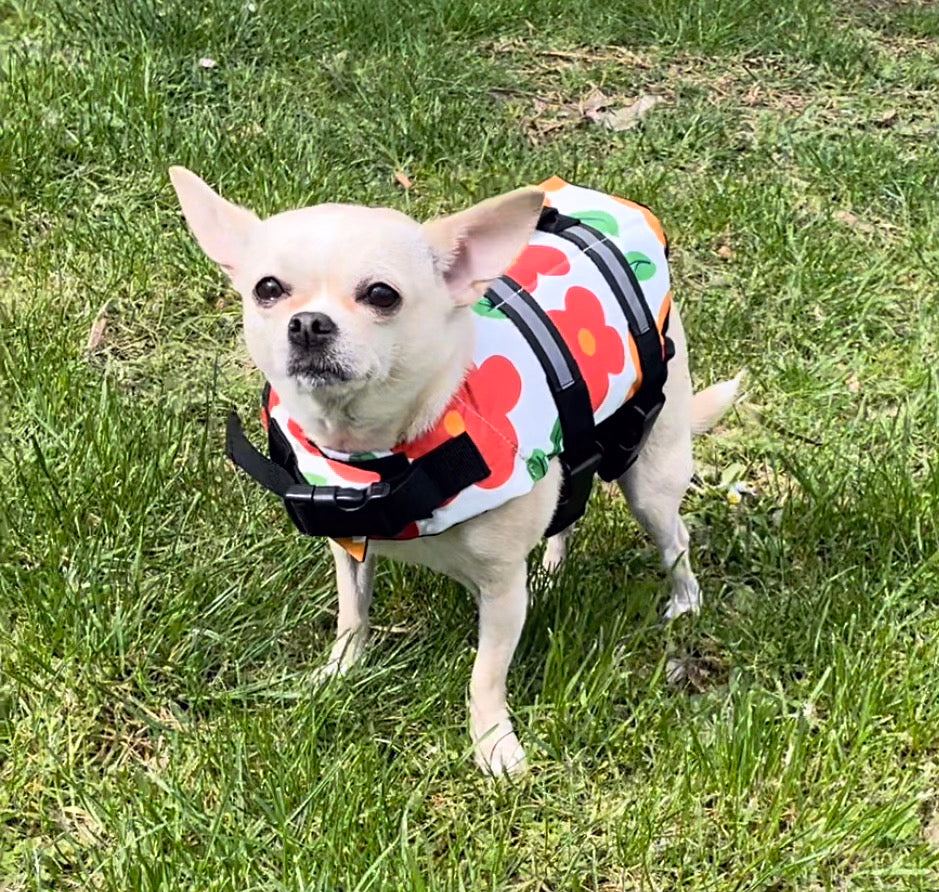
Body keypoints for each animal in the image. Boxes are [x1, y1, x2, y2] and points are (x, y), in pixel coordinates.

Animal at [171, 167, 740, 772]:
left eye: (381, 295)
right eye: (268, 290)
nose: (307, 323)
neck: (377, 459)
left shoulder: (502, 591)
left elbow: (484, 676)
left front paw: (493, 744)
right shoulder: (350, 550)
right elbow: (352, 616)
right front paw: (337, 674)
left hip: (651, 476)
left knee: (674, 539)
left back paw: (684, 603)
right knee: (567, 509)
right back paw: (553, 568)